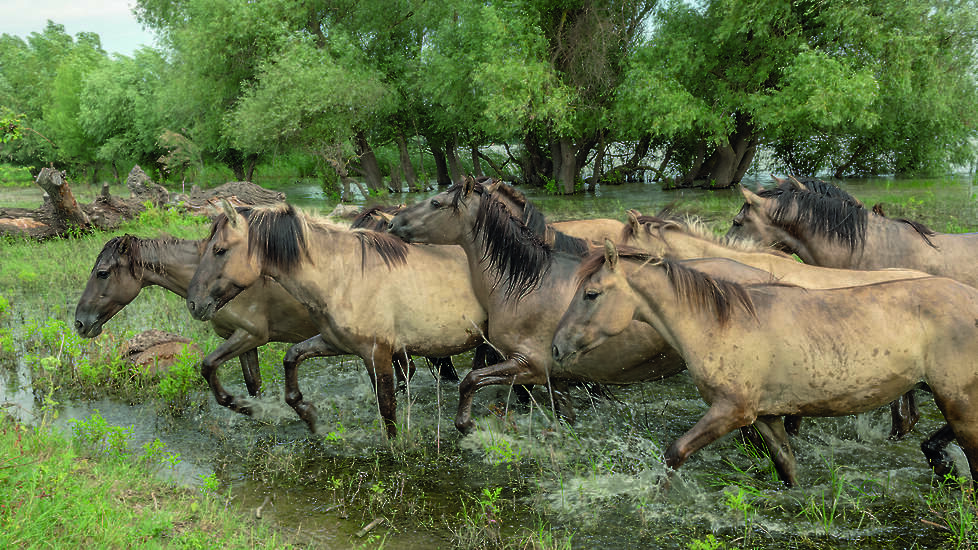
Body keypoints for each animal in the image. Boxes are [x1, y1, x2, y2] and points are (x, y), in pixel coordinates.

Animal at [183, 203, 488, 440]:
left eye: (220, 250)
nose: (194, 303)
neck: (344, 276)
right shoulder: (335, 342)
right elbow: (291, 358)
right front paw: (309, 415)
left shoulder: (377, 353)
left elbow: (387, 410)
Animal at [548, 242, 976, 488]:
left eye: (591, 294)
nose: (555, 347)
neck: (719, 323)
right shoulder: (766, 416)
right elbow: (787, 467)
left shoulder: (732, 411)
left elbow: (674, 453)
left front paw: (655, 496)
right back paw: (939, 460)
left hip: (956, 397)